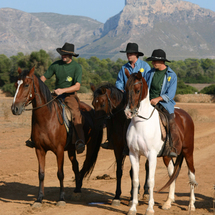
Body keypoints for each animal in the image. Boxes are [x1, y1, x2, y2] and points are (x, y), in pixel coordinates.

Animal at [10, 67, 103, 207]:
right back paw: (76, 189)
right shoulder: (39, 150)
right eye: (16, 84)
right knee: (76, 165)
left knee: (85, 165)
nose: (14, 108)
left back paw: (78, 190)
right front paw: (39, 199)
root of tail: (92, 110)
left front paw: (61, 199)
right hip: (71, 149)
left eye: (26, 85)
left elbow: (60, 173)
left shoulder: (59, 150)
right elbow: (41, 174)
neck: (47, 118)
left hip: (91, 146)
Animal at [124, 71, 198, 215]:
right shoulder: (133, 154)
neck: (141, 123)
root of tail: (186, 115)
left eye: (137, 90)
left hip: (188, 152)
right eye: (125, 89)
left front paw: (149, 209)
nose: (128, 112)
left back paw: (191, 205)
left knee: (191, 174)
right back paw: (168, 203)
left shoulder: (151, 156)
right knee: (172, 175)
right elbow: (135, 181)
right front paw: (132, 208)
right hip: (167, 156)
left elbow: (151, 181)